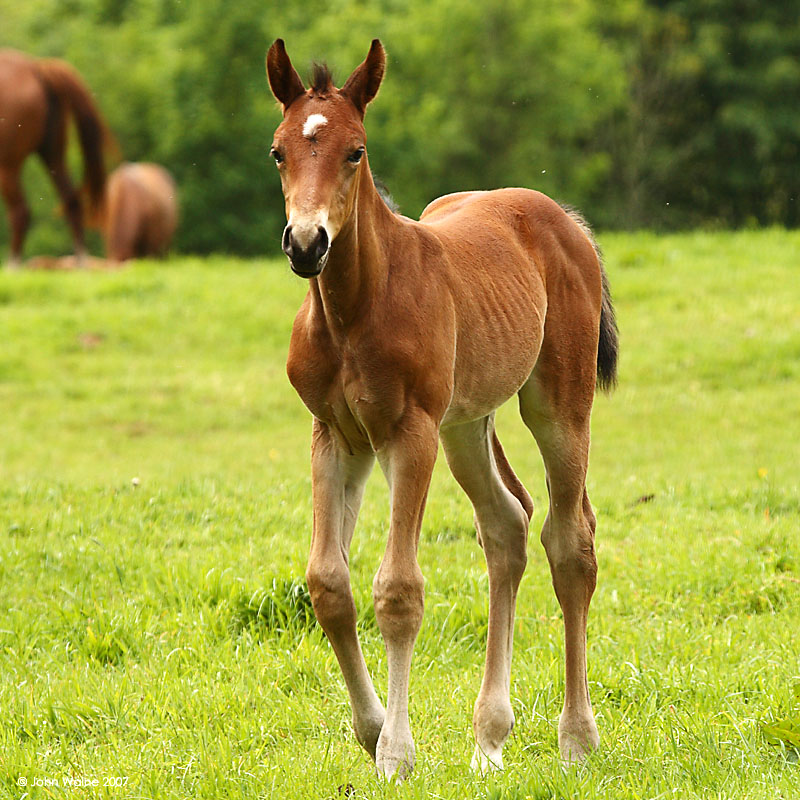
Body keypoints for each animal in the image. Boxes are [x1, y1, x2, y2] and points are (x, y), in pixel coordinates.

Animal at [0, 50, 112, 268]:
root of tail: (36, 68)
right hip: (53, 155)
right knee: (72, 202)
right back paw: (81, 264)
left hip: (8, 165)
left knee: (20, 212)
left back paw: (13, 267)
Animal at [268, 39, 620, 780]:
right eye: (278, 151)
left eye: (356, 151)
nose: (306, 244)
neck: (355, 308)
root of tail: (564, 218)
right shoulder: (335, 435)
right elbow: (328, 583)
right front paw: (372, 729)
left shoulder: (411, 433)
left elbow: (398, 589)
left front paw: (396, 754)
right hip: (466, 425)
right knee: (507, 526)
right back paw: (489, 737)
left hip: (556, 406)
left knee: (569, 540)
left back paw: (576, 738)